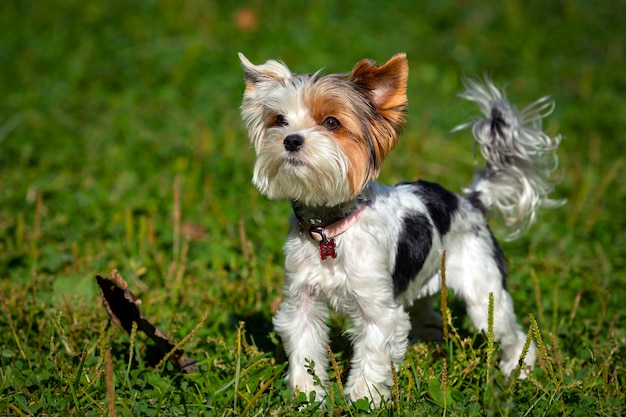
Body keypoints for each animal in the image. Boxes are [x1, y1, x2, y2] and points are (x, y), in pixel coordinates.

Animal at [238, 52, 560, 404]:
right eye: (279, 120)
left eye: (332, 123)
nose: (291, 139)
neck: (331, 226)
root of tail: (471, 200)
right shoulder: (302, 300)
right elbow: (304, 347)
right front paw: (306, 394)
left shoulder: (379, 311)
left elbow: (372, 357)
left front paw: (364, 399)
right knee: (428, 317)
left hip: (483, 292)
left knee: (509, 331)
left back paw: (519, 371)